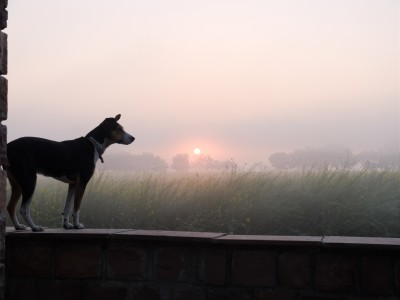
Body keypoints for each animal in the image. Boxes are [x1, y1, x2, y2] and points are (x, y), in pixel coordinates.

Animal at [4, 115, 135, 232]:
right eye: (119, 129)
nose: (133, 138)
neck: (93, 145)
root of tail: (9, 146)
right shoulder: (82, 183)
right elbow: (76, 208)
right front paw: (77, 225)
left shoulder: (72, 185)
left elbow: (67, 207)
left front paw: (66, 225)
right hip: (29, 181)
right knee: (24, 208)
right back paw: (35, 227)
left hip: (17, 183)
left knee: (10, 206)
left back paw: (18, 226)